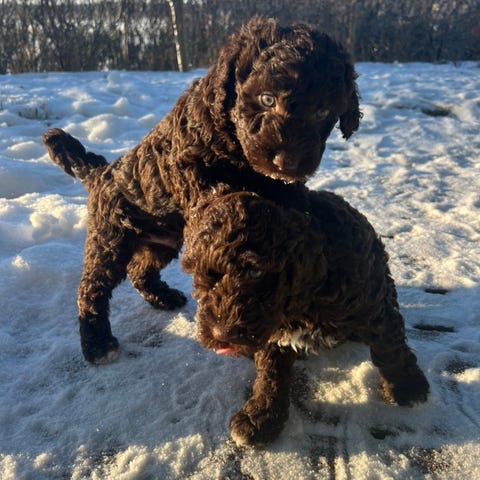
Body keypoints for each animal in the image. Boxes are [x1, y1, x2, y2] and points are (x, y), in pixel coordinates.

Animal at [43, 17, 361, 363]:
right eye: (267, 99)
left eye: (322, 112)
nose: (286, 161)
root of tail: (102, 170)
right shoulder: (192, 169)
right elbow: (225, 198)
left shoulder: (285, 185)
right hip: (110, 237)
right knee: (93, 287)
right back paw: (97, 343)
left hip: (162, 241)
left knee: (141, 269)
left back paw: (163, 297)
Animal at [182, 191, 430, 446]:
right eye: (198, 274)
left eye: (256, 272)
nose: (222, 334)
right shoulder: (272, 333)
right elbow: (271, 373)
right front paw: (261, 416)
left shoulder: (373, 303)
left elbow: (390, 346)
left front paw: (408, 387)